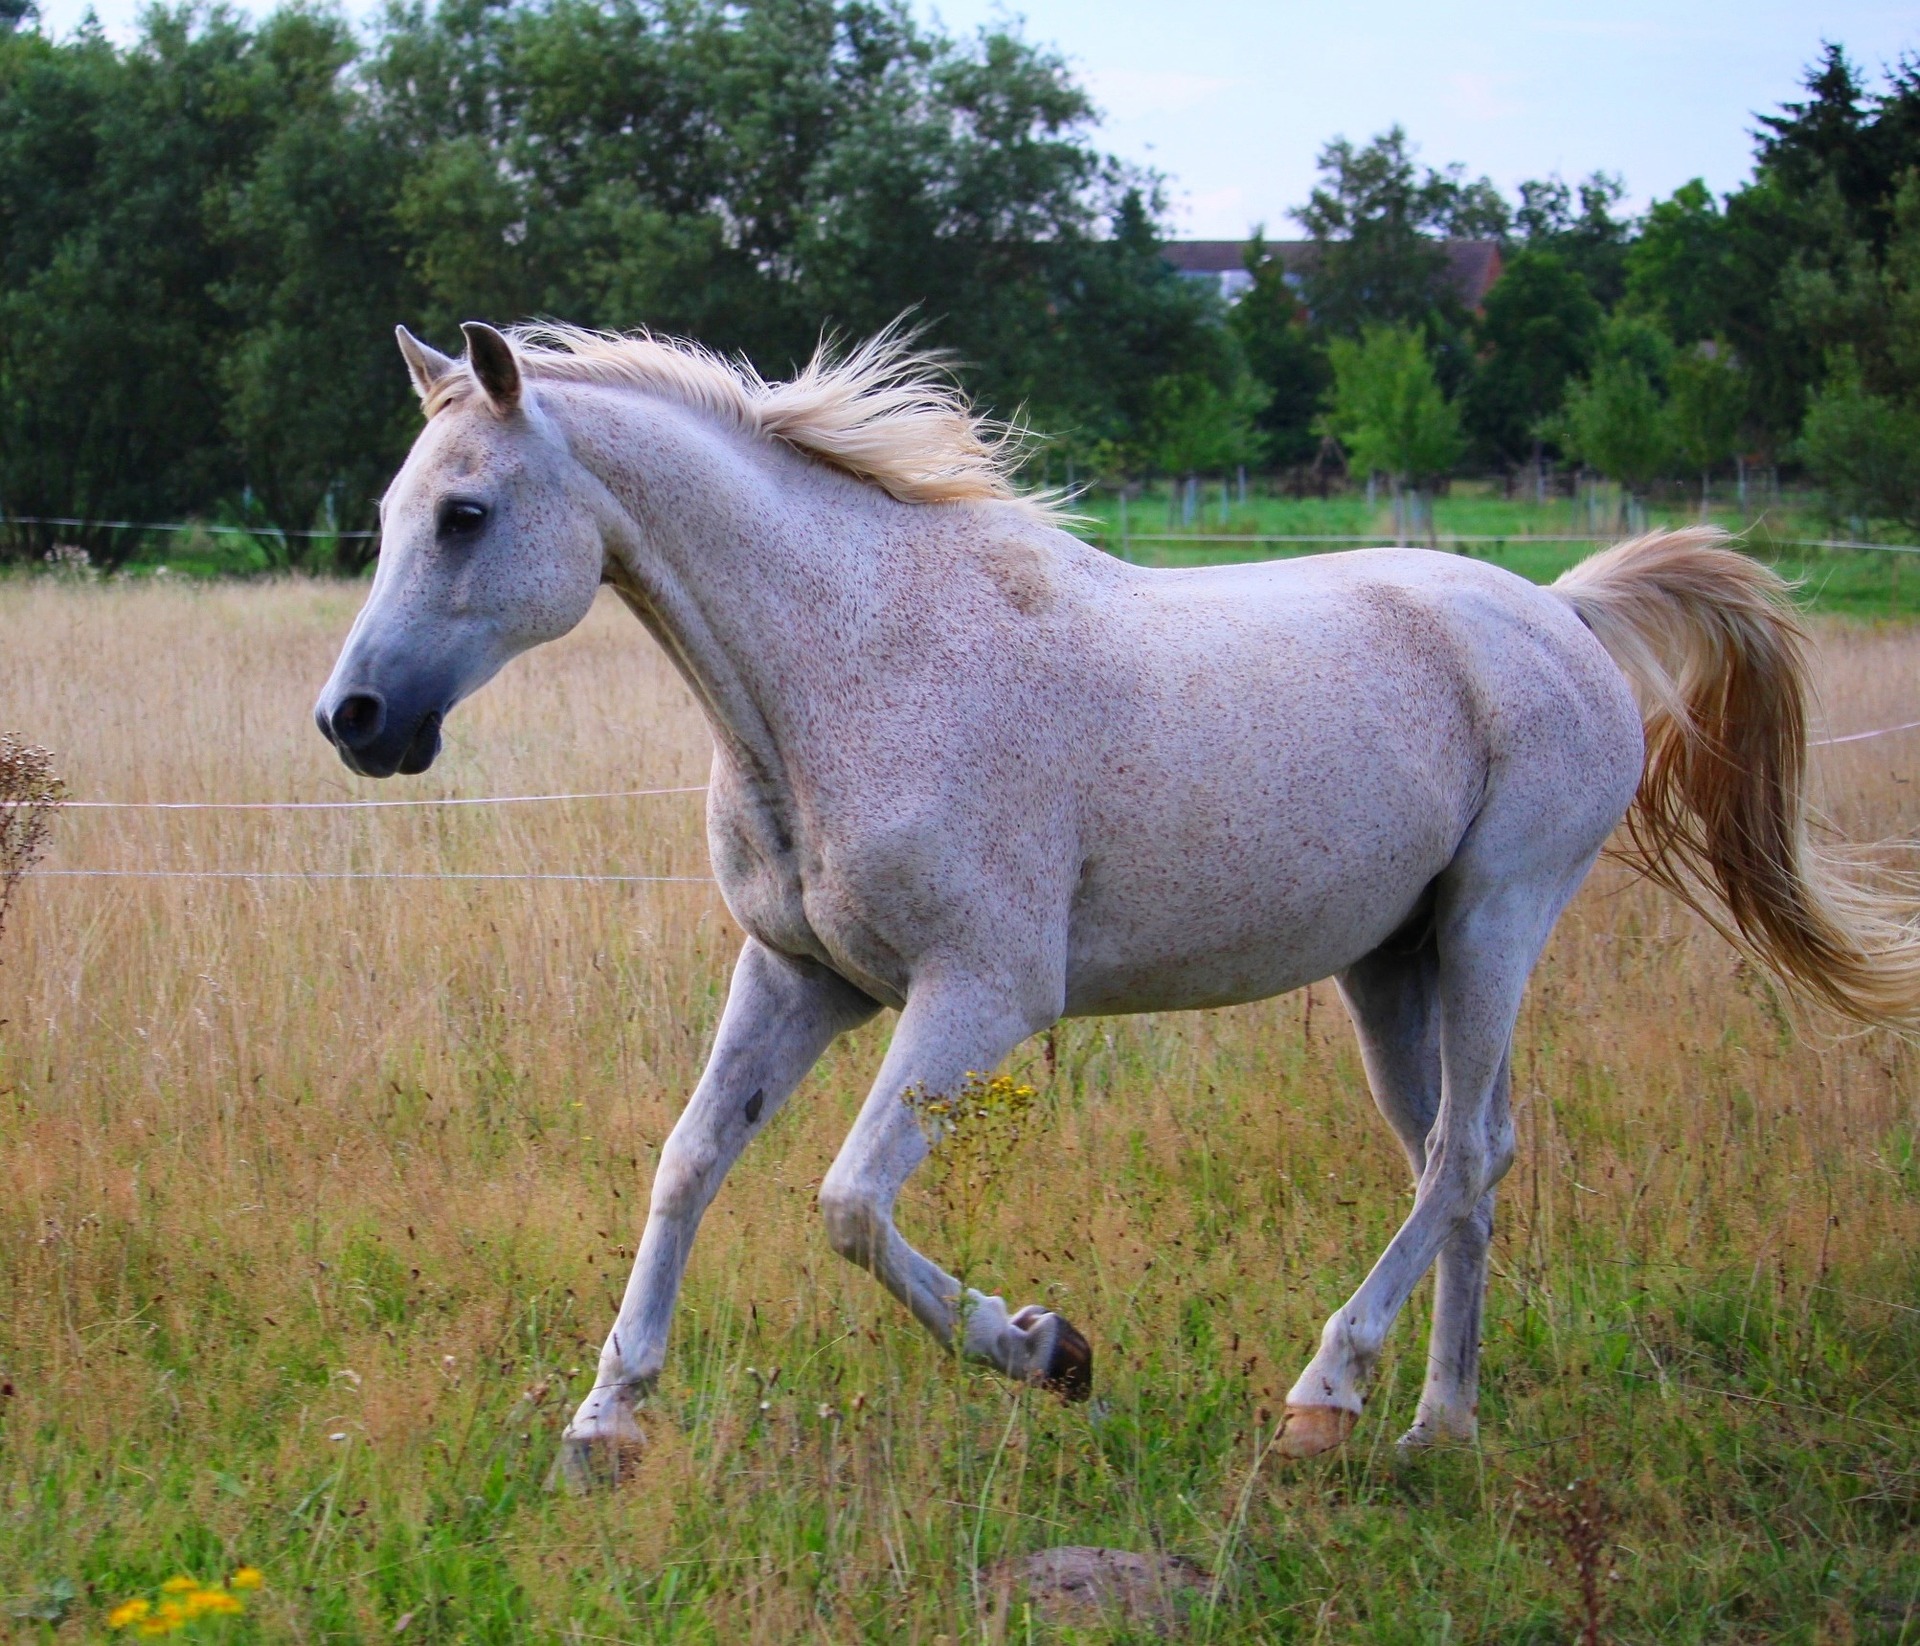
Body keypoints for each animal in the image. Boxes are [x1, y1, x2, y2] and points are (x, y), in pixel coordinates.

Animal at [318, 320, 1920, 1475]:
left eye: (466, 513)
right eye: (392, 509)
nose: (355, 719)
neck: (848, 664)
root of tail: (1566, 612)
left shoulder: (979, 994)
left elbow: (847, 1203)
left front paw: (1047, 1348)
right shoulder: (797, 975)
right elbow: (688, 1161)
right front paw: (606, 1425)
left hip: (1495, 920)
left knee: (1463, 1152)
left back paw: (1326, 1393)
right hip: (1391, 963)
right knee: (1460, 1158)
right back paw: (1435, 1428)